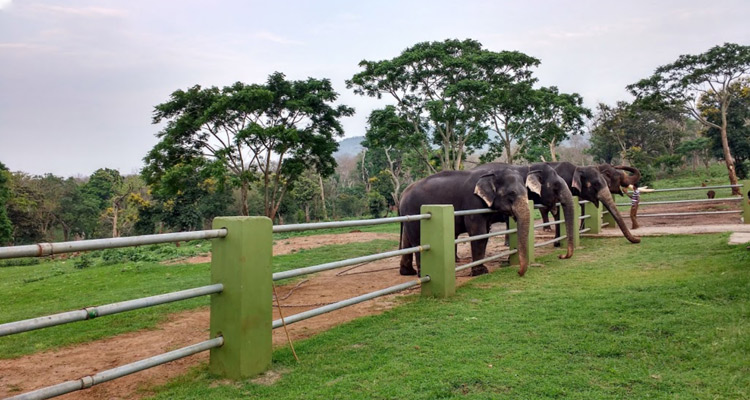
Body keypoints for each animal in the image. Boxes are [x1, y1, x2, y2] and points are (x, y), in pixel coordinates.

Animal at [400, 167, 536, 276]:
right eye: (511, 194)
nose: (518, 272)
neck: (491, 173)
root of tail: (403, 194)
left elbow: (485, 233)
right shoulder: (473, 203)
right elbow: (479, 233)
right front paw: (480, 273)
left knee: (407, 240)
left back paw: (408, 272)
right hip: (415, 211)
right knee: (418, 240)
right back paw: (422, 275)